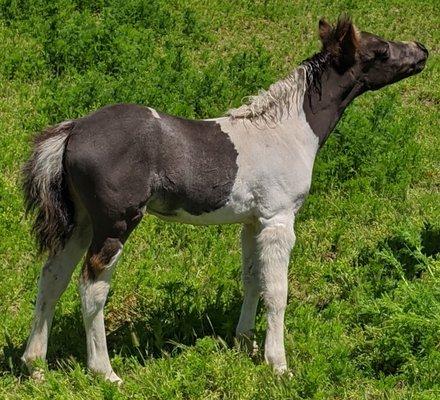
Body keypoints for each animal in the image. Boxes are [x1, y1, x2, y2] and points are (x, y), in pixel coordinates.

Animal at [20, 17, 426, 382]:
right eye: (381, 49)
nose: (421, 50)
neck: (286, 131)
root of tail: (73, 130)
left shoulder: (252, 222)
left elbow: (253, 280)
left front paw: (244, 343)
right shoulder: (278, 221)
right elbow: (277, 291)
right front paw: (278, 364)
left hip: (81, 223)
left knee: (52, 277)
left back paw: (35, 365)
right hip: (114, 224)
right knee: (91, 288)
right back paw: (104, 372)